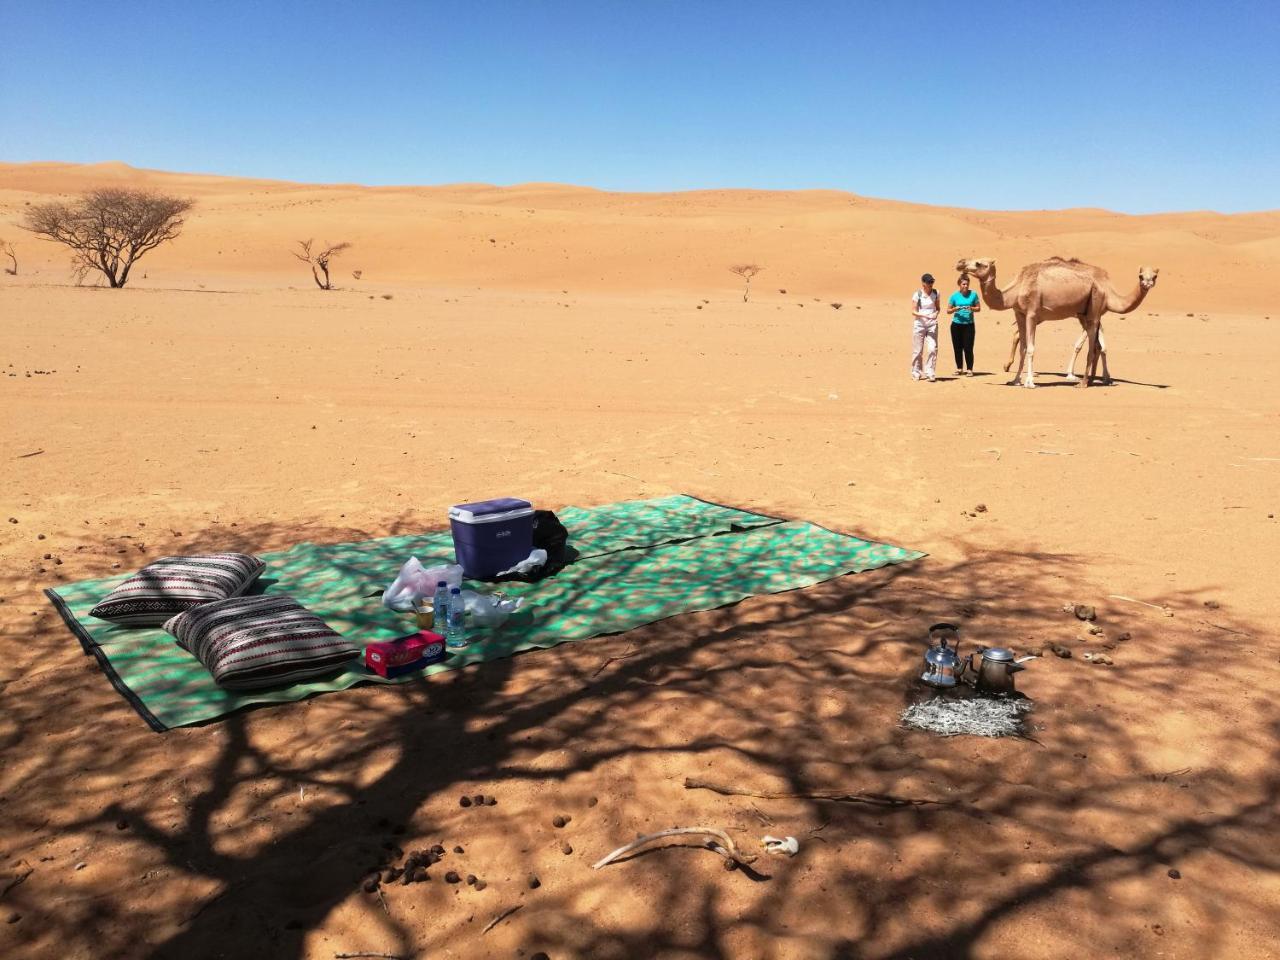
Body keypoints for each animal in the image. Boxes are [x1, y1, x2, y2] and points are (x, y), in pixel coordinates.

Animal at [962, 259, 1162, 391]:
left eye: (979, 263)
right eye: (1141, 275)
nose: (960, 263)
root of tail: (1103, 286)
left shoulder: (1032, 313)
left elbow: (1031, 348)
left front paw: (1029, 383)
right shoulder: (1020, 313)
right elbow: (1024, 348)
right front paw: (1015, 380)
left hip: (1093, 307)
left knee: (1093, 347)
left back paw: (1084, 383)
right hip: (1085, 312)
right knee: (1095, 346)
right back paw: (1089, 380)